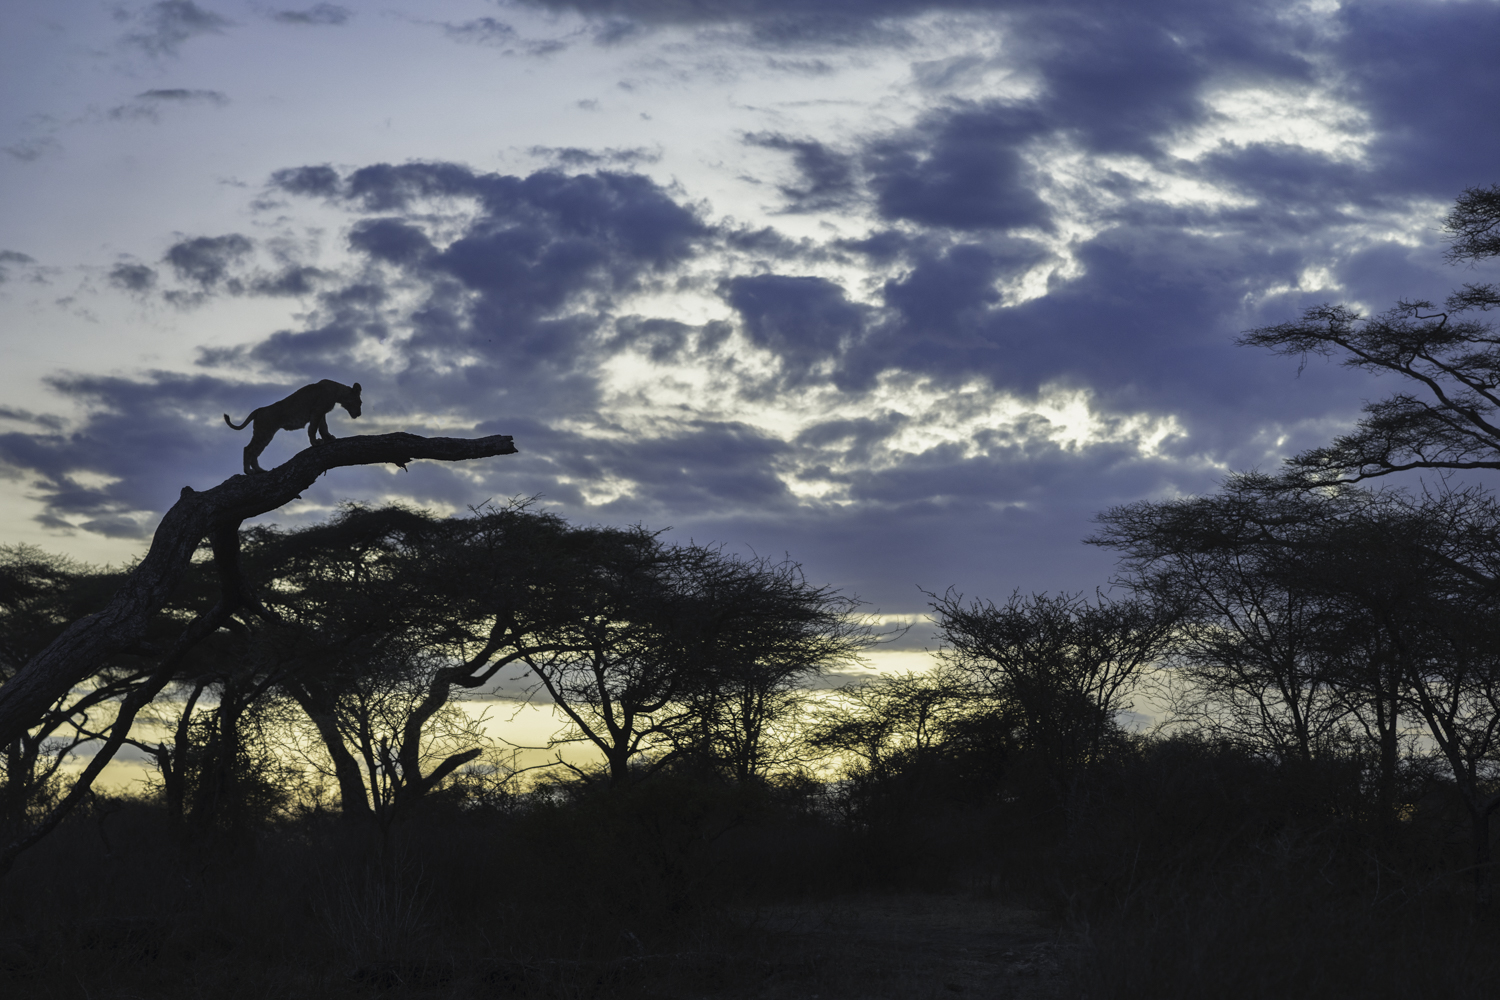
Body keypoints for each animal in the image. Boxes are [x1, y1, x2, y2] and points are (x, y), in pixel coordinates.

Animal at [223, 379, 363, 475]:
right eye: (360, 402)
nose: (360, 414)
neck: (338, 393)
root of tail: (259, 409)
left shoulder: (321, 413)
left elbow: (323, 428)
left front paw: (328, 438)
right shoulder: (317, 411)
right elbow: (313, 429)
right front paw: (315, 443)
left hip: (264, 435)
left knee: (255, 452)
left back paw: (260, 470)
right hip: (264, 433)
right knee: (248, 449)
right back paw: (249, 471)